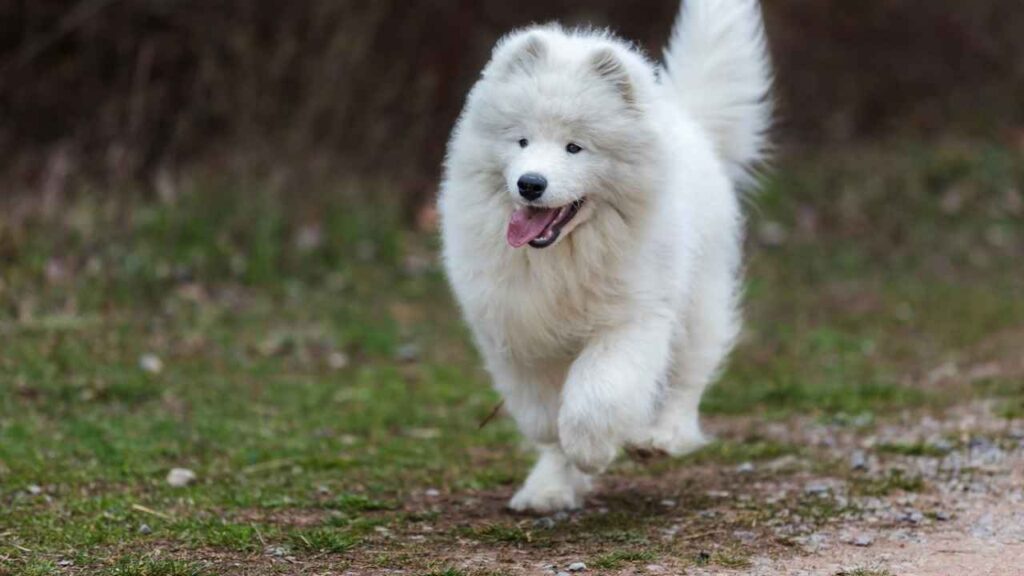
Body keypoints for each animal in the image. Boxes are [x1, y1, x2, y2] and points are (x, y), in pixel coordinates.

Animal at [438, 0, 770, 510]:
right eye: (522, 141)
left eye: (575, 147)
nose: (530, 184)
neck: (563, 257)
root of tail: (685, 120)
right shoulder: (513, 328)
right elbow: (542, 413)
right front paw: (557, 472)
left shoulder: (631, 321)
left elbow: (596, 394)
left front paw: (592, 450)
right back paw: (548, 490)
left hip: (699, 301)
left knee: (686, 379)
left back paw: (660, 437)